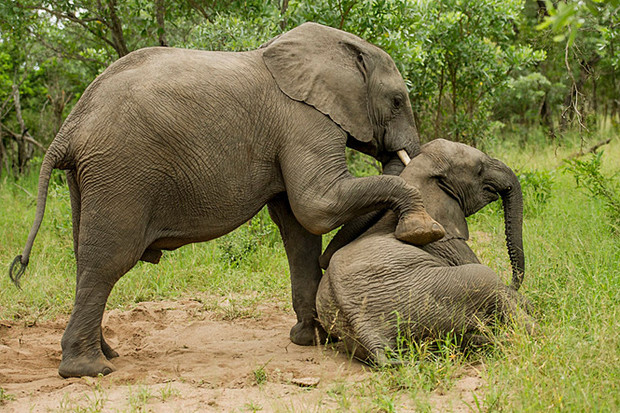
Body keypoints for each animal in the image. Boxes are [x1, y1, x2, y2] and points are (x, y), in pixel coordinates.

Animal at [7, 21, 444, 376]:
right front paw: (424, 231)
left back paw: (107, 354)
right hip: (120, 171)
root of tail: (70, 128)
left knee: (85, 260)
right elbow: (316, 207)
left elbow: (299, 231)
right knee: (108, 261)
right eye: (397, 101)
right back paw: (89, 370)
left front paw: (312, 341)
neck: (337, 48)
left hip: (87, 178)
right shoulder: (303, 121)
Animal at [318, 140, 536, 366]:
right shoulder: (450, 243)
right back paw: (532, 330)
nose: (513, 281)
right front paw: (529, 303)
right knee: (487, 280)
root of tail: (371, 336)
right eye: (479, 169)